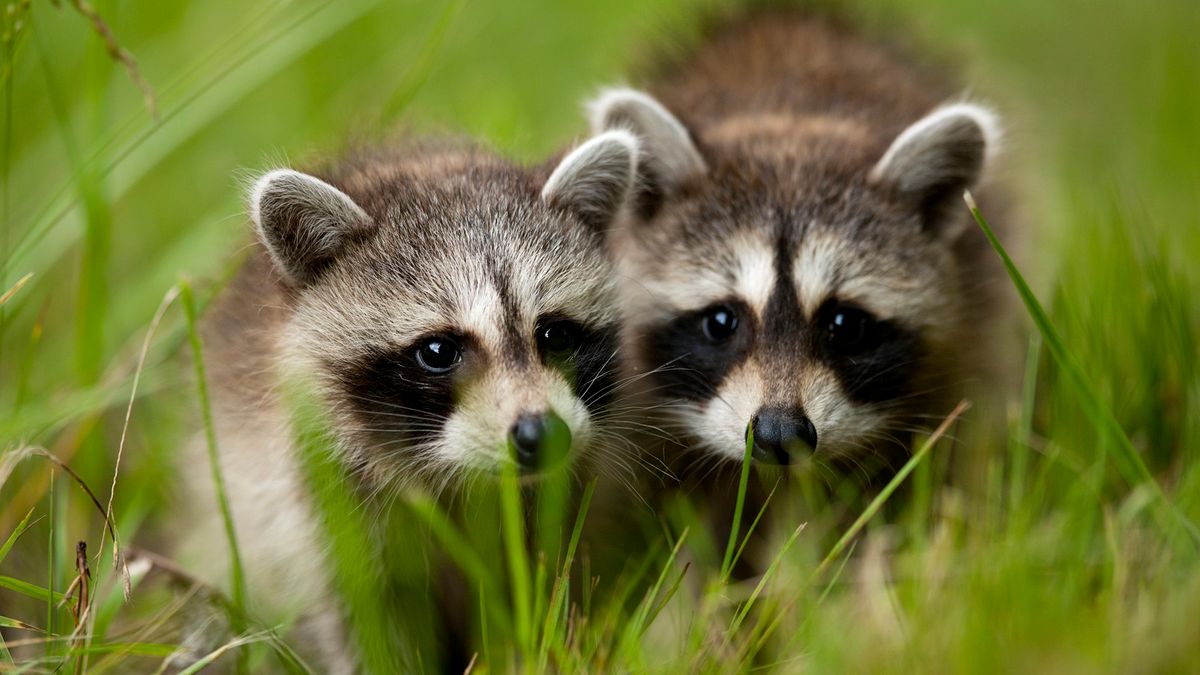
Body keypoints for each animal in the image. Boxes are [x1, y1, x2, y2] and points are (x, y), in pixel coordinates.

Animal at [176, 130, 638, 667]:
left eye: (556, 334)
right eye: (438, 351)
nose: (541, 434)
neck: (458, 479)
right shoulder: (315, 501)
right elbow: (365, 620)